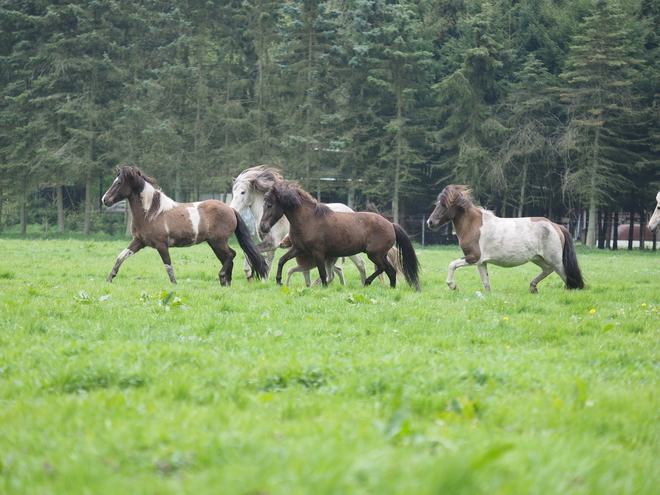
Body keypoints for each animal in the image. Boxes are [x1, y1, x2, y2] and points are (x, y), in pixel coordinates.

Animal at [100, 167, 266, 284]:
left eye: (119, 182)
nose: (105, 200)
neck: (151, 213)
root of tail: (231, 209)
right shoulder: (139, 242)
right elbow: (121, 256)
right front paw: (109, 278)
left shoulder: (161, 245)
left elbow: (168, 265)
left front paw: (174, 284)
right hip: (215, 243)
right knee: (228, 258)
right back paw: (226, 282)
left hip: (218, 242)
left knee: (231, 255)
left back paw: (222, 277)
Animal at [231, 166, 366, 284]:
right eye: (233, 192)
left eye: (243, 192)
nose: (232, 209)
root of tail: (351, 211)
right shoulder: (271, 245)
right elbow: (267, 261)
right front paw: (264, 281)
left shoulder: (272, 243)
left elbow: (250, 252)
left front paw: (249, 275)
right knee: (336, 269)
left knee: (360, 263)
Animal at [260, 181, 422, 290]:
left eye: (269, 205)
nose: (263, 227)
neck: (309, 220)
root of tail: (391, 225)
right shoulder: (298, 248)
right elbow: (282, 260)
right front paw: (279, 281)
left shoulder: (318, 252)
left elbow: (323, 272)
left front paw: (323, 287)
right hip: (379, 255)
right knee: (390, 270)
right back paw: (390, 287)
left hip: (374, 254)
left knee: (384, 268)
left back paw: (368, 282)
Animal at [426, 186, 584, 294]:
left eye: (444, 204)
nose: (430, 222)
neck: (473, 225)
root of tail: (556, 226)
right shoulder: (481, 262)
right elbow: (486, 283)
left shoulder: (473, 257)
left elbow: (452, 265)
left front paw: (453, 286)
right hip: (538, 258)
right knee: (547, 269)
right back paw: (533, 287)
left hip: (556, 260)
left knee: (566, 276)